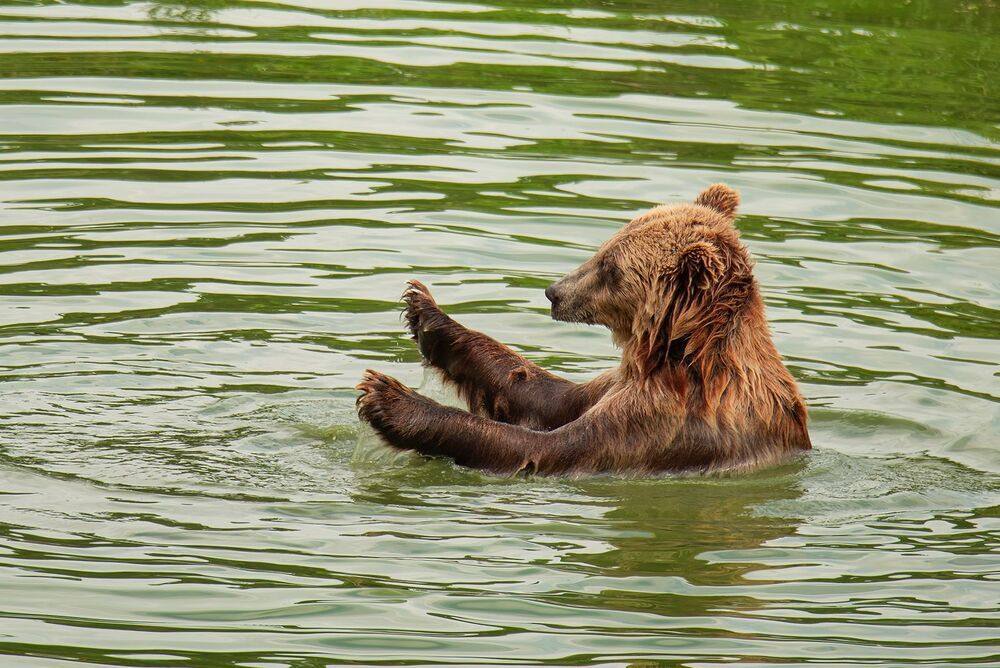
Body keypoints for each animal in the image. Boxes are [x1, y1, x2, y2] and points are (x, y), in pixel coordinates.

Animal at [356, 184, 811, 476]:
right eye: (604, 247)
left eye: (610, 267)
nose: (554, 292)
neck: (672, 354)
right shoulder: (619, 382)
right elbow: (543, 396)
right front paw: (425, 313)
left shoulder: (661, 422)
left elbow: (542, 449)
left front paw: (388, 398)